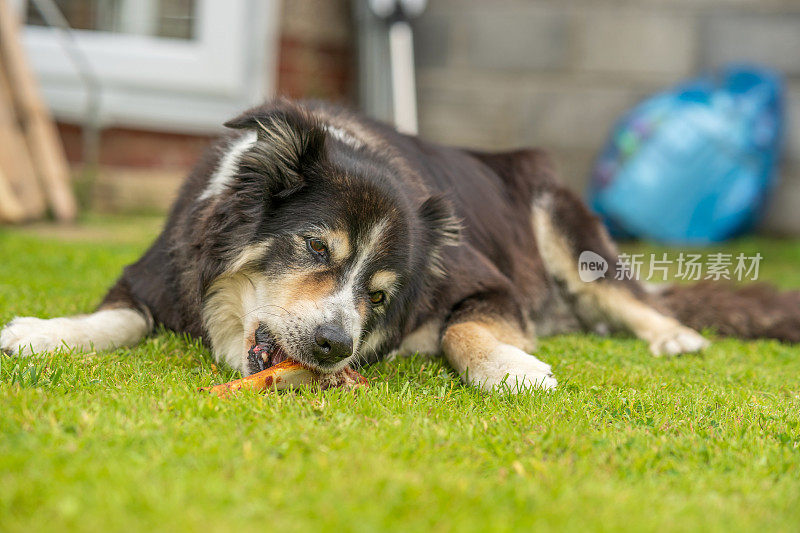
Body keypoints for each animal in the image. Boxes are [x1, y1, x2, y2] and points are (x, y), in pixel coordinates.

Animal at [1, 100, 800, 390]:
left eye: (380, 295)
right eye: (316, 249)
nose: (333, 345)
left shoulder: (488, 284)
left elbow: (460, 331)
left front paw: (512, 368)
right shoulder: (157, 274)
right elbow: (112, 317)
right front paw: (39, 332)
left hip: (561, 224)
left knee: (630, 295)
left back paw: (672, 335)